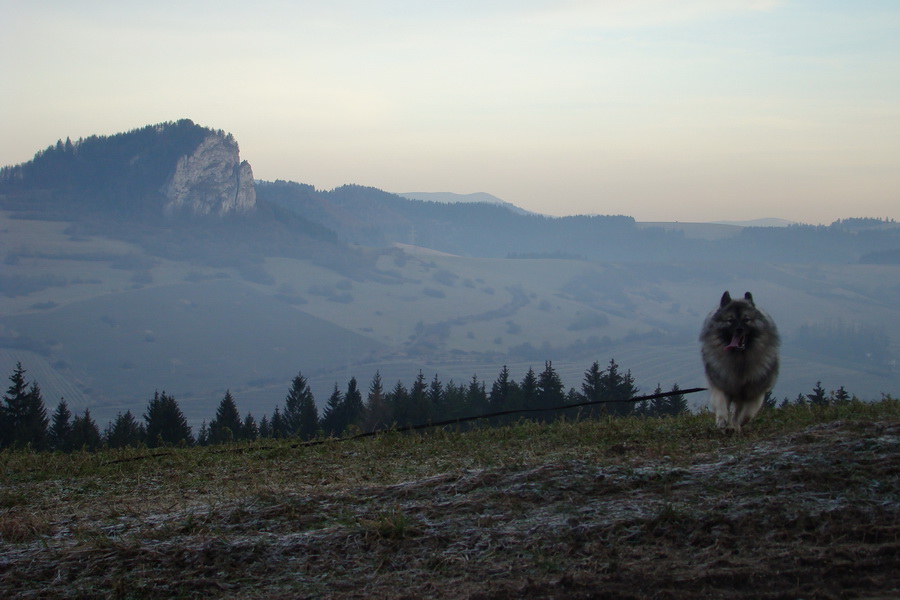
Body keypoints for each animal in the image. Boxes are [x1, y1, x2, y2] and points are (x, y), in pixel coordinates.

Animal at [700, 290, 776, 432]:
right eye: (730, 320)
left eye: (746, 319)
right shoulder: (721, 383)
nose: (739, 329)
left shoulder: (753, 391)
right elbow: (721, 403)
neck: (739, 358)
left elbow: (745, 413)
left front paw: (736, 424)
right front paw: (722, 421)